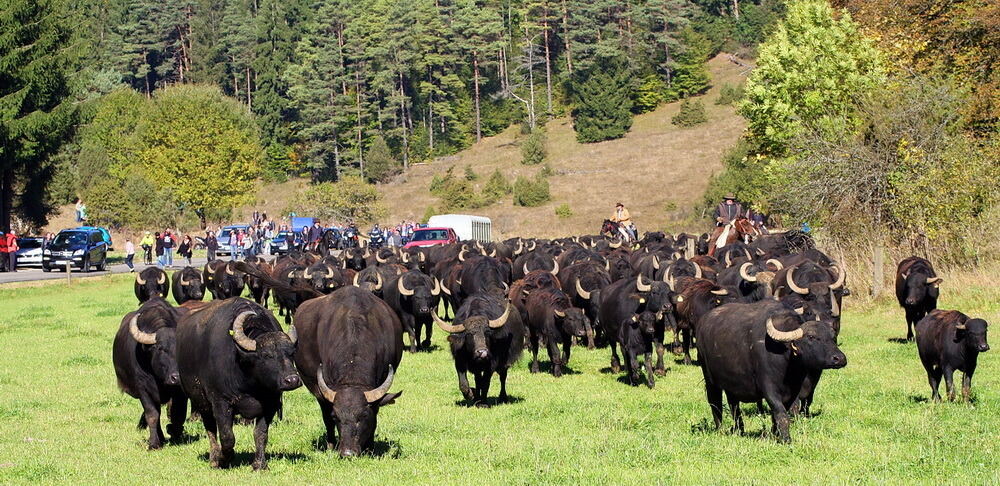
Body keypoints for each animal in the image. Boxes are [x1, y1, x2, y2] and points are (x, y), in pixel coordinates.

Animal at [176, 298, 300, 468]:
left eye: (291, 353)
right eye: (267, 355)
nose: (292, 380)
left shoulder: (271, 404)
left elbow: (260, 434)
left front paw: (259, 465)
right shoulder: (221, 403)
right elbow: (227, 437)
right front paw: (224, 459)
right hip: (201, 402)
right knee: (210, 429)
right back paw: (214, 458)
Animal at [700, 302, 848, 442]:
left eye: (832, 337)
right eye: (811, 337)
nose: (839, 358)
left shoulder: (794, 390)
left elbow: (779, 413)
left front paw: (775, 434)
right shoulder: (769, 388)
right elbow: (781, 412)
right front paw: (786, 439)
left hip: (732, 385)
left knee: (734, 405)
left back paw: (739, 430)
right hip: (710, 380)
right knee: (715, 403)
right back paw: (720, 429)